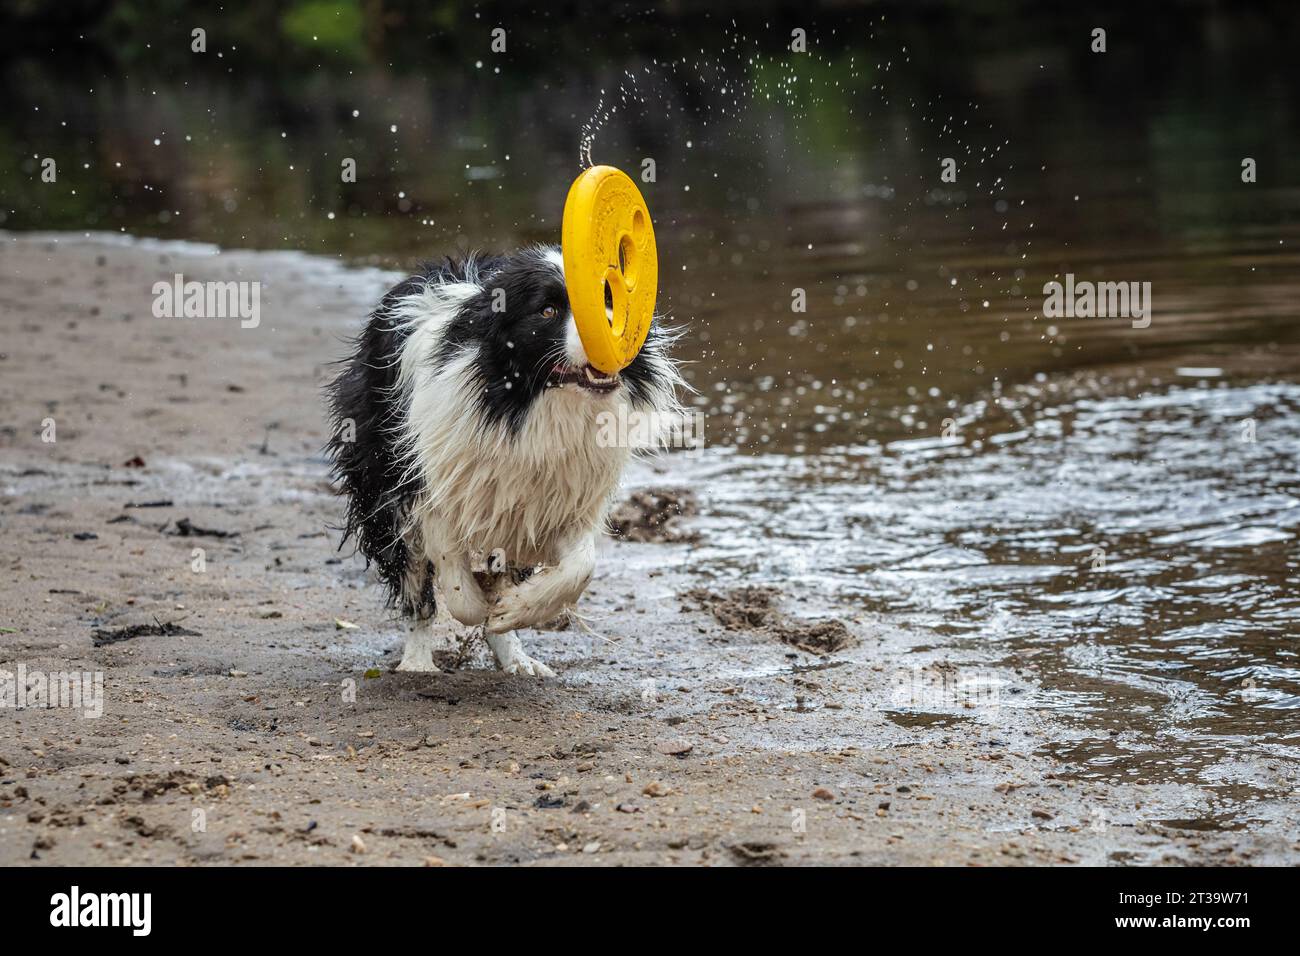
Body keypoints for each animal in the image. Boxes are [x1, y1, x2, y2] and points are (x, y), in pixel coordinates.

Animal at [325, 247, 681, 681]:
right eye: (547, 310)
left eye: (608, 299)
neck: (531, 405)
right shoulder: (426, 488)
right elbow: (454, 579)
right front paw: (479, 602)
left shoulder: (558, 504)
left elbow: (581, 565)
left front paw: (510, 608)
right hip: (380, 480)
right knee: (415, 589)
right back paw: (418, 663)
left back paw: (517, 658)